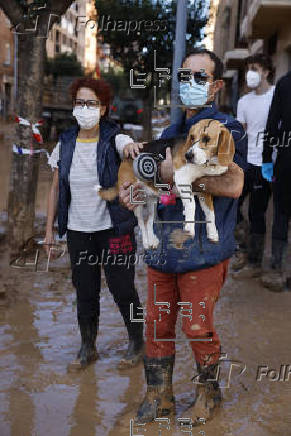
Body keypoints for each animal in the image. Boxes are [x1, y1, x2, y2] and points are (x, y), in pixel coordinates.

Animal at [99, 118, 236, 249]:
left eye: (207, 139)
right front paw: (189, 229)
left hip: (152, 200)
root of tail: (126, 157)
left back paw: (152, 241)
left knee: (149, 221)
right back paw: (146, 243)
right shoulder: (182, 178)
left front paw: (213, 233)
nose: (187, 155)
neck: (208, 164)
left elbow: (210, 213)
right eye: (191, 137)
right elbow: (192, 205)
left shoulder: (205, 190)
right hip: (136, 199)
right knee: (141, 223)